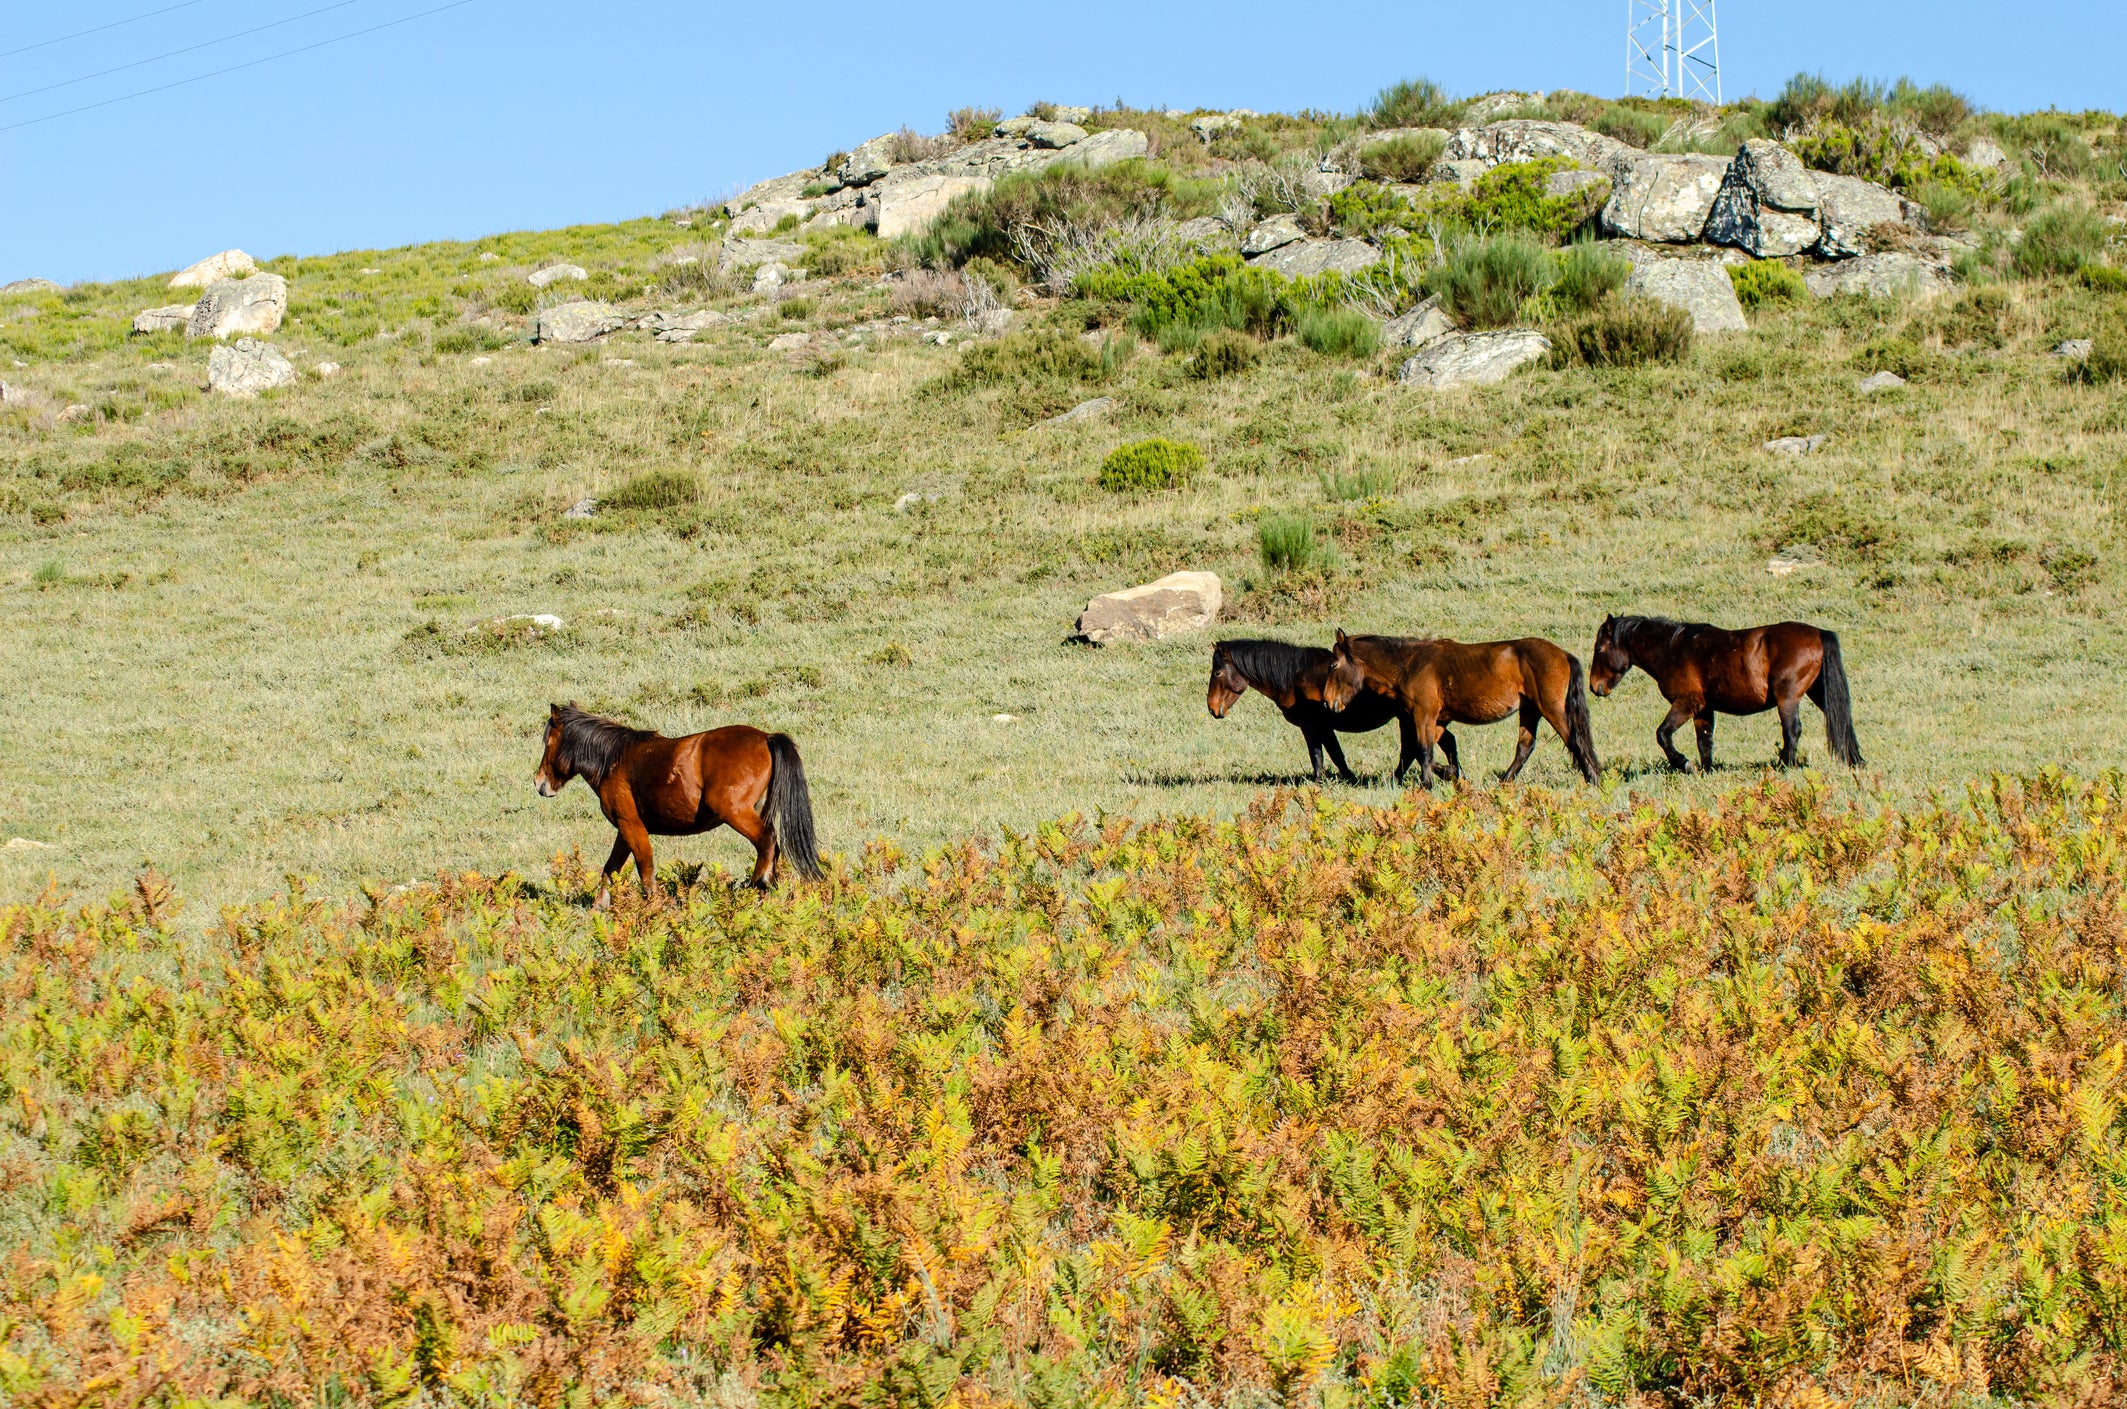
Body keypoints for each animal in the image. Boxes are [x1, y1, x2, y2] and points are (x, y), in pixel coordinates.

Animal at [533, 703, 821, 897]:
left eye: (548, 742)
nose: (539, 783)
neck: (614, 759)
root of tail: (766, 737)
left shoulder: (632, 826)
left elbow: (645, 871)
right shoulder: (624, 831)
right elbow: (610, 870)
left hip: (736, 812)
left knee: (767, 842)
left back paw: (758, 884)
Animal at [1206, 638, 1415, 782]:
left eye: (1218, 673)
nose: (1211, 708)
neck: (1294, 677)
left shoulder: (1311, 725)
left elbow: (1319, 754)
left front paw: (1322, 781)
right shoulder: (1323, 727)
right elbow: (1334, 754)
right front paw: (1349, 779)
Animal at [1322, 631, 1602, 789]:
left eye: (1333, 665)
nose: (1327, 702)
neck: (1409, 664)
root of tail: (1563, 654)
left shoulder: (1424, 715)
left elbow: (1422, 752)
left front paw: (1428, 784)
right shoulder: (1436, 722)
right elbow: (1430, 752)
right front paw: (1452, 775)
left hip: (1551, 709)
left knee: (1575, 741)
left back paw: (1593, 780)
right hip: (1530, 710)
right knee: (1525, 746)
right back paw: (1504, 782)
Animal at [1587, 615, 1862, 771]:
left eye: (1599, 649)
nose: (1594, 686)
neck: (1672, 649)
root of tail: (1818, 633)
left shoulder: (1687, 704)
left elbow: (1663, 735)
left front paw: (1684, 764)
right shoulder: (1703, 709)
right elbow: (1704, 742)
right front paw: (1706, 771)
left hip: (1788, 697)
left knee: (1792, 730)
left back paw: (1785, 766)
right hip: (1818, 693)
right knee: (1842, 722)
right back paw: (1855, 760)